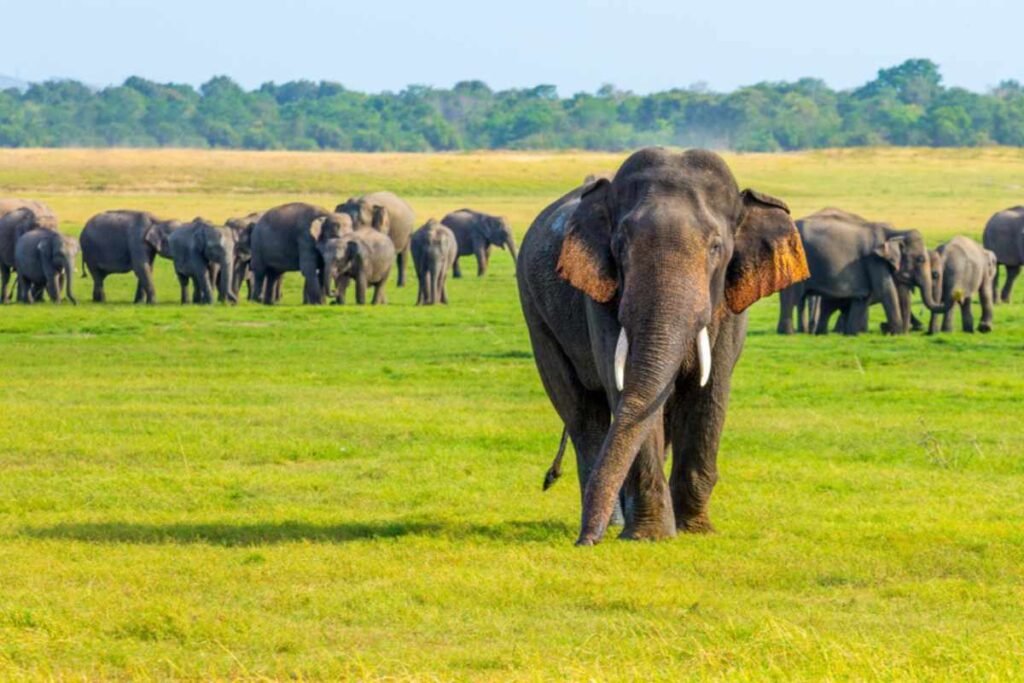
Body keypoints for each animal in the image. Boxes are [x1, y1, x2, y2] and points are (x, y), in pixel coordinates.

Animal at [520, 148, 806, 544]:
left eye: (716, 247)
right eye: (620, 246)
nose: (583, 543)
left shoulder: (728, 305)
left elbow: (710, 392)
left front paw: (695, 530)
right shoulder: (602, 296)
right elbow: (626, 390)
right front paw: (650, 536)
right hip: (536, 315)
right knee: (582, 412)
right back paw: (612, 524)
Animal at [774, 208, 942, 335]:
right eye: (920, 259)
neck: (894, 231)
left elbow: (864, 297)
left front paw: (853, 334)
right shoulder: (874, 261)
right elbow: (886, 290)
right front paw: (897, 333)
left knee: (801, 299)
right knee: (792, 297)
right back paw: (788, 333)